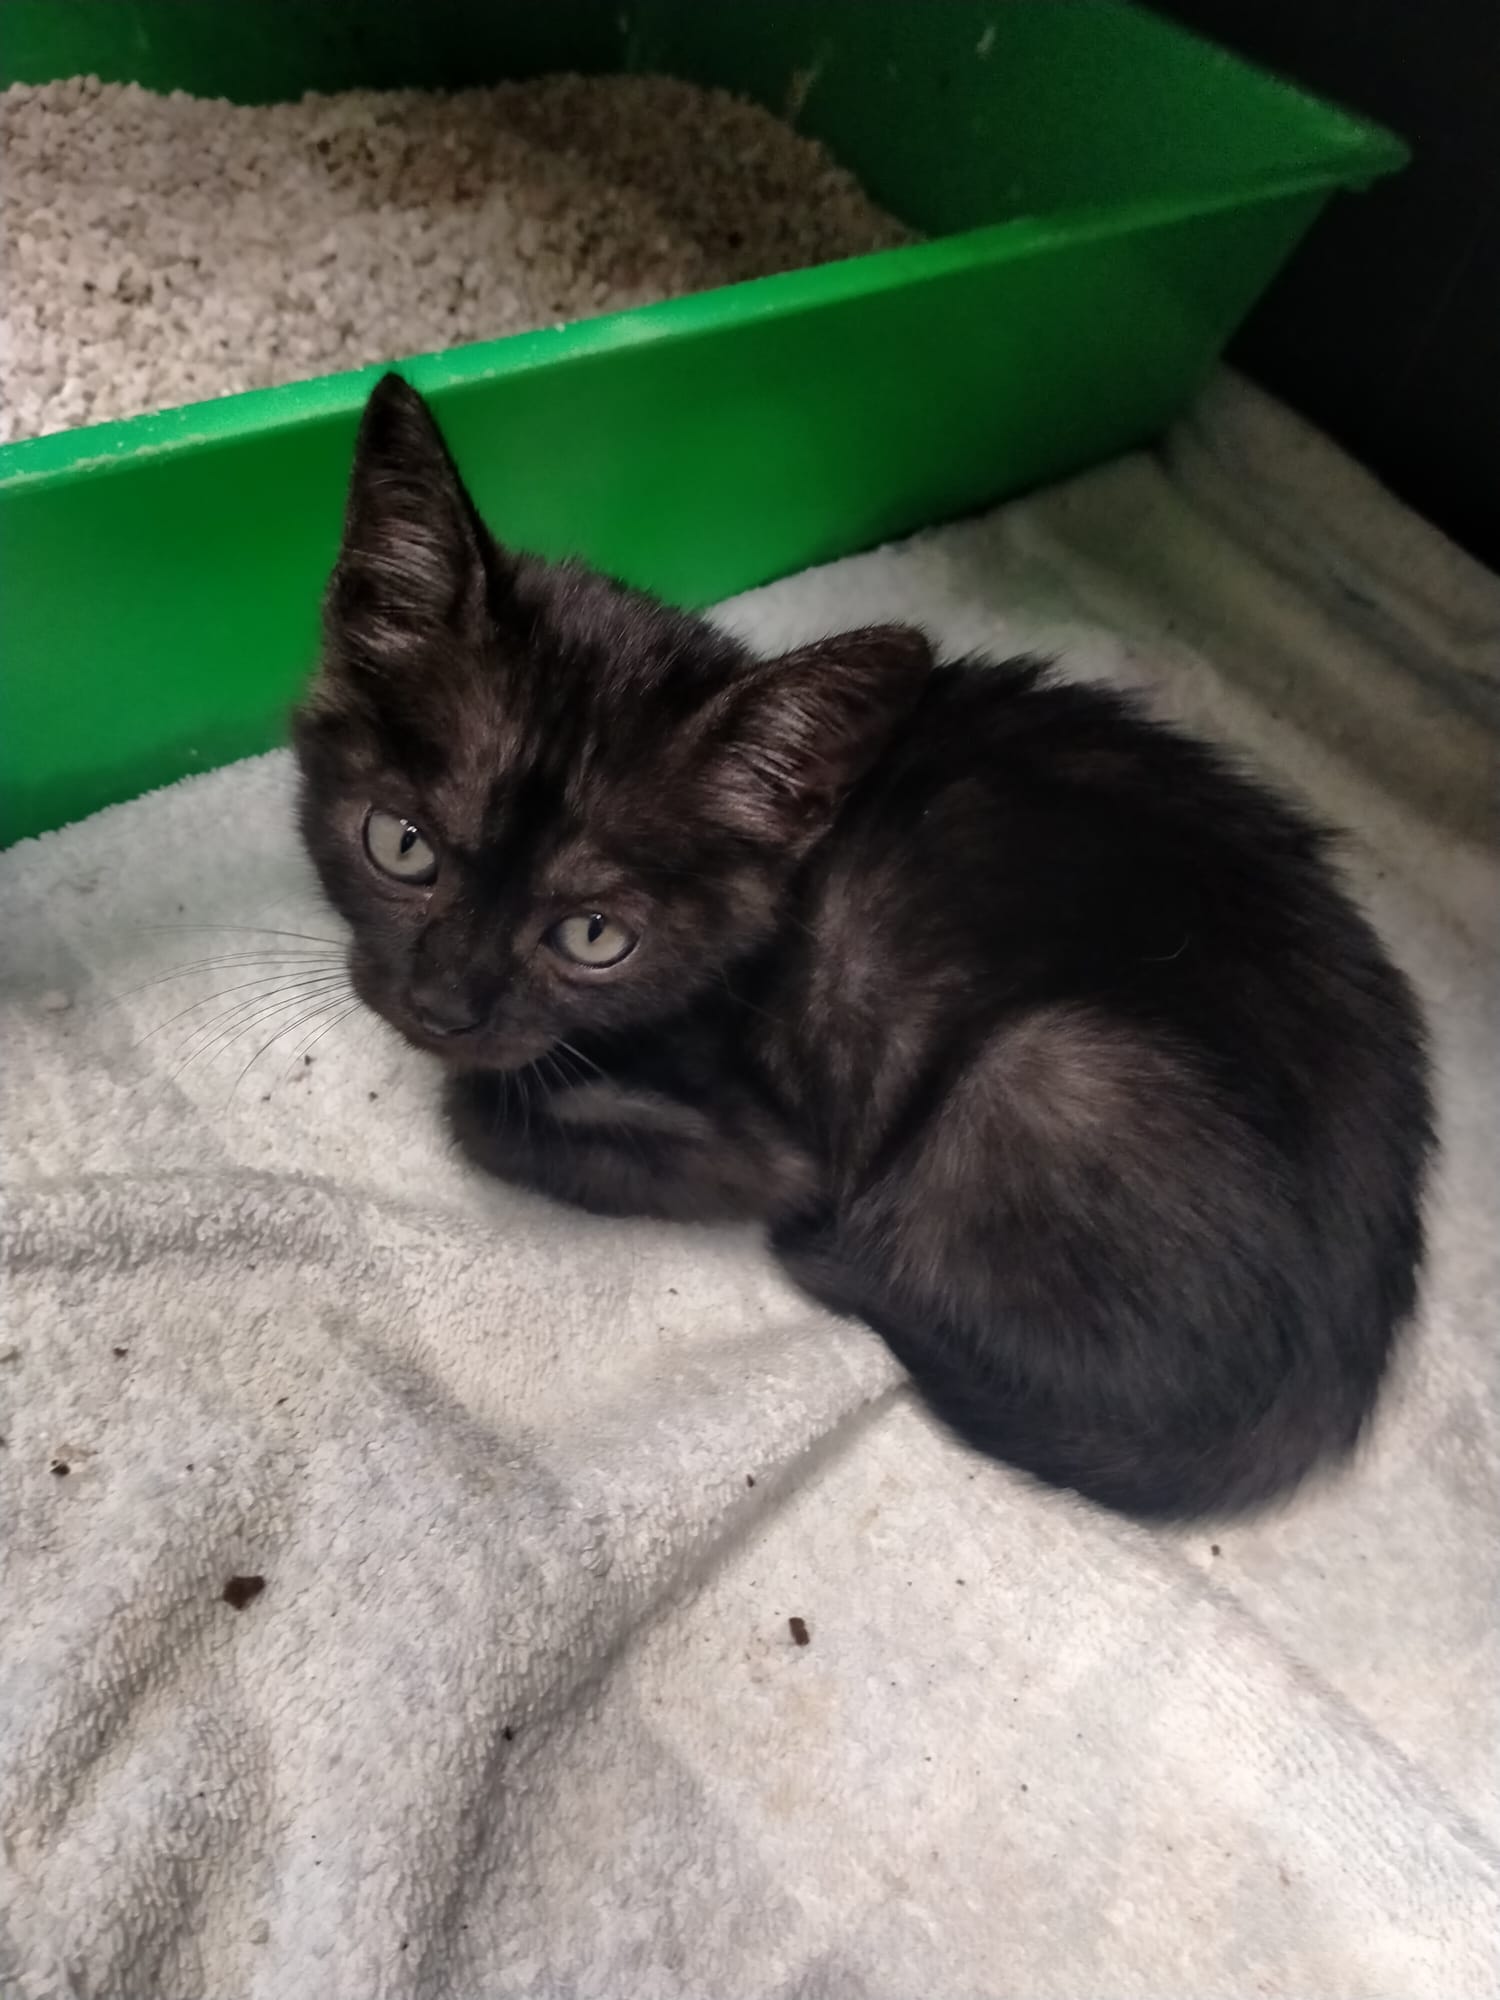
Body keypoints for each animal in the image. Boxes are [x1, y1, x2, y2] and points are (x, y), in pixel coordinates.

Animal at [295, 373, 1433, 1521]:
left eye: (593, 936)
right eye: (400, 843)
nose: (442, 1006)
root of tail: (1326, 1385)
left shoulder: (768, 1144)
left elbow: (485, 1112)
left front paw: (496, 1088)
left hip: (1046, 1067)